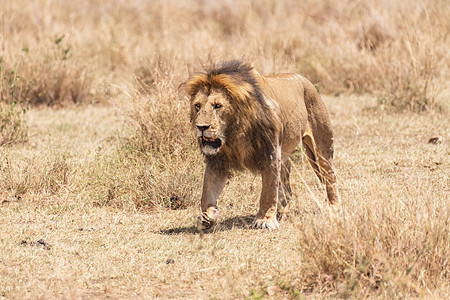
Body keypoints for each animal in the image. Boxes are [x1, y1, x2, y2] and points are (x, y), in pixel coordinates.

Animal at [185, 61, 340, 230]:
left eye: (218, 106)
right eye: (197, 105)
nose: (201, 127)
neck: (234, 133)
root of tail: (305, 79)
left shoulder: (271, 154)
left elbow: (268, 192)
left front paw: (265, 220)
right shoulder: (217, 160)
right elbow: (208, 189)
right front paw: (207, 216)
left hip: (320, 147)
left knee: (330, 177)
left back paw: (334, 207)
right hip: (285, 158)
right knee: (287, 191)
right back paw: (282, 214)